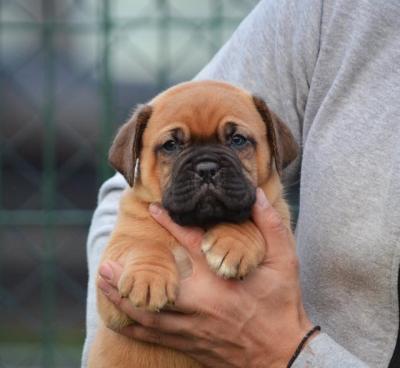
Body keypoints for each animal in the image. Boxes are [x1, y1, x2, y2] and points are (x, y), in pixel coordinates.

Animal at [89, 81, 298, 368]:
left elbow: (245, 218)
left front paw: (234, 244)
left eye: (237, 140)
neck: (200, 223)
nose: (206, 167)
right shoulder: (111, 295)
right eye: (171, 145)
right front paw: (148, 276)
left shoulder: (275, 210)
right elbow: (144, 244)